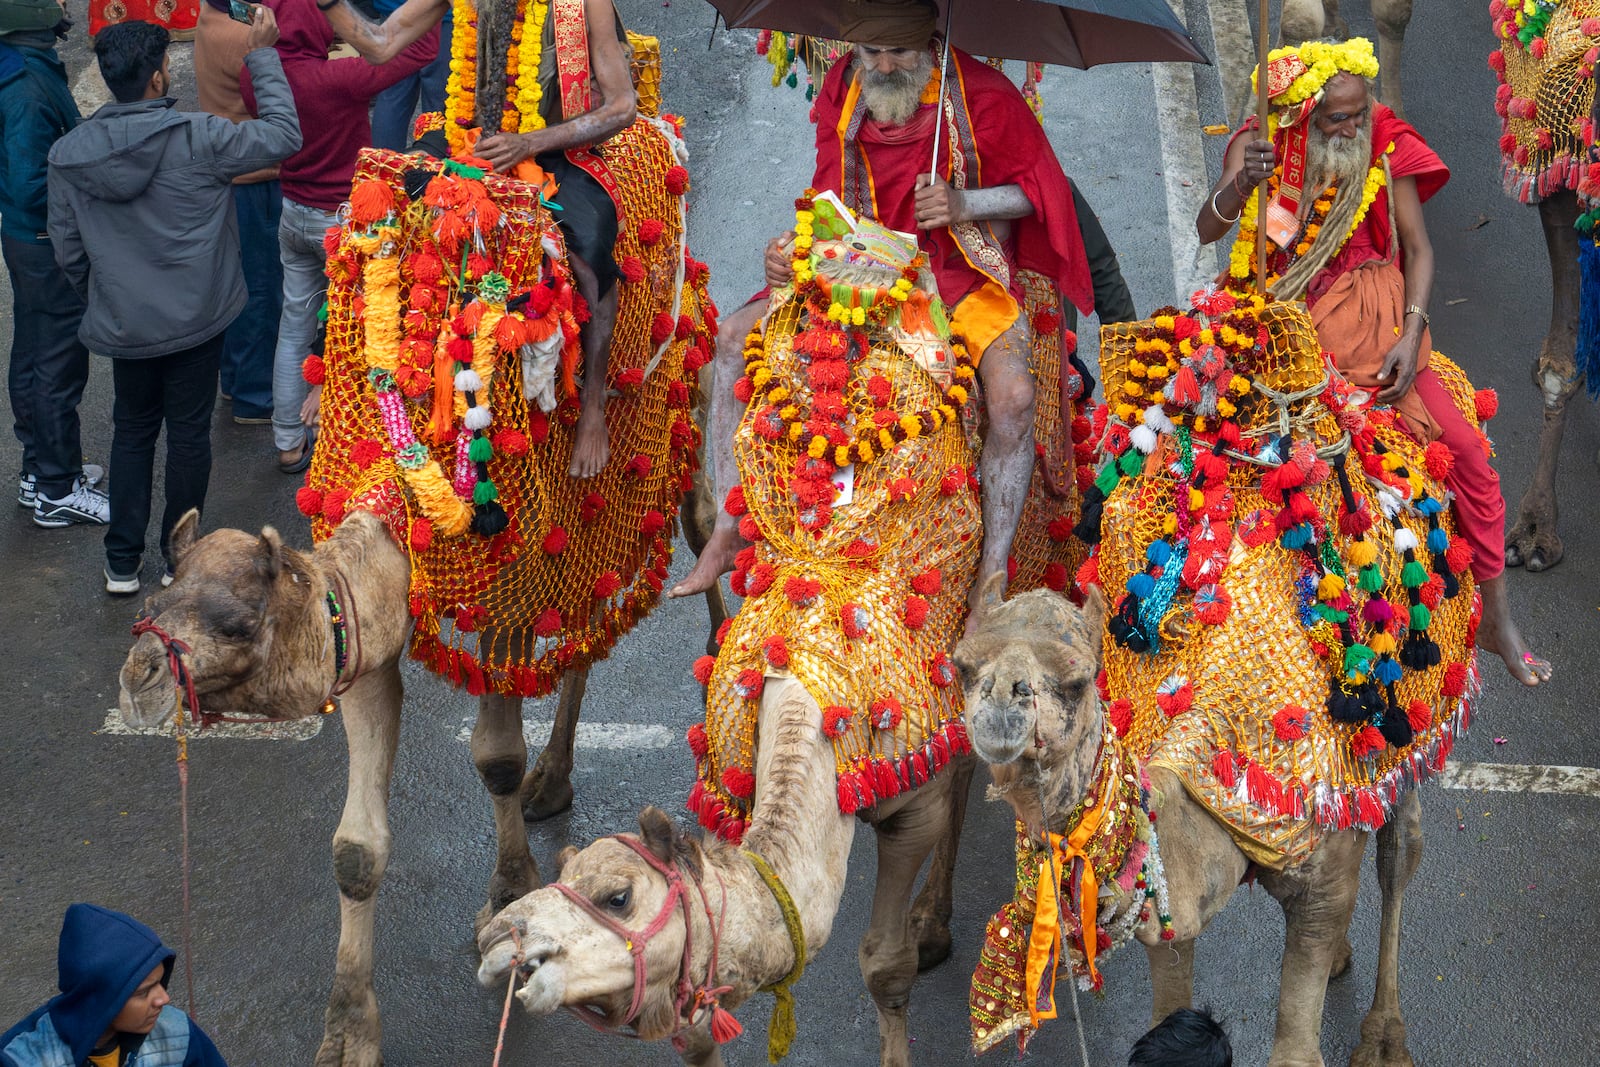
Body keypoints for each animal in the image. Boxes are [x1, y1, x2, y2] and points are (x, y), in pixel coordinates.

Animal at [118, 502, 726, 1067]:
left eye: (238, 626)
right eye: (148, 609)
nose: (136, 683)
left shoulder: (509, 589)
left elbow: (498, 757)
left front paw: (510, 892)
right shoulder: (364, 648)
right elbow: (357, 849)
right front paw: (348, 1037)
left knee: (701, 527)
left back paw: (718, 652)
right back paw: (552, 781)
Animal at [473, 675, 966, 1067]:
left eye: (618, 898)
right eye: (560, 880)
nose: (496, 937)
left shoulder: (916, 807)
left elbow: (886, 968)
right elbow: (699, 1033)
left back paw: (931, 928)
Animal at [953, 585, 1420, 1067]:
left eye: (1078, 679)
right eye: (961, 666)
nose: (1001, 706)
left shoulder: (1325, 875)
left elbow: (1297, 1049)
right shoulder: (1171, 904)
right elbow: (1167, 1000)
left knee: (1399, 852)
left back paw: (1385, 1039)